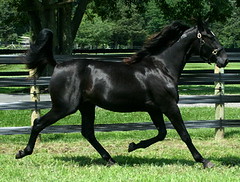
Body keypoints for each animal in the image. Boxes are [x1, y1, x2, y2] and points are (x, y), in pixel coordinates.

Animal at [16, 20, 227, 168]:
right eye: (208, 37)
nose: (224, 59)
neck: (162, 68)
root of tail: (58, 65)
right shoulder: (169, 105)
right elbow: (184, 134)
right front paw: (204, 161)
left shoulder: (154, 108)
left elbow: (161, 133)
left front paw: (132, 145)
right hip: (64, 107)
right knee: (38, 123)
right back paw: (22, 152)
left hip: (87, 106)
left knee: (88, 133)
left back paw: (110, 160)